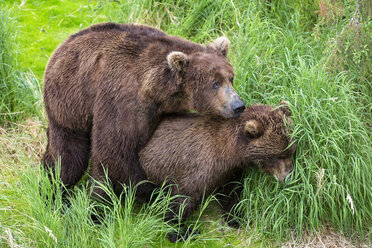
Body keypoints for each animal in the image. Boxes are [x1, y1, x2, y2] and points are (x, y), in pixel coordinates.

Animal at [42, 22, 246, 202]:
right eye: (215, 83)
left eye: (231, 78)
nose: (238, 105)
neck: (157, 89)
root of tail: (61, 47)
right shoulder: (123, 99)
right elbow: (115, 150)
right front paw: (150, 189)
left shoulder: (165, 107)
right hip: (70, 101)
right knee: (69, 155)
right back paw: (56, 189)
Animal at [140, 103, 296, 241]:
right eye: (278, 155)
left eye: (291, 151)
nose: (289, 176)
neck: (227, 153)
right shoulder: (197, 167)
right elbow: (181, 199)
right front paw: (181, 231)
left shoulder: (229, 172)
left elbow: (231, 194)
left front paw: (235, 218)